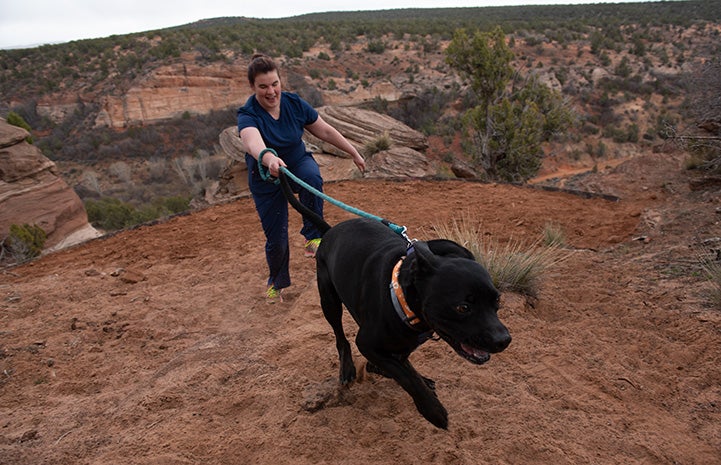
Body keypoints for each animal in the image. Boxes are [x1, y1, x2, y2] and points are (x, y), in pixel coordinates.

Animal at [278, 171, 510, 428]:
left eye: (497, 302)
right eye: (463, 307)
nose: (504, 340)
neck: (403, 298)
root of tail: (330, 231)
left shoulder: (404, 344)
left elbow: (401, 366)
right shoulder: (366, 343)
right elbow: (405, 376)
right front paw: (433, 410)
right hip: (329, 301)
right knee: (341, 337)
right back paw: (347, 368)